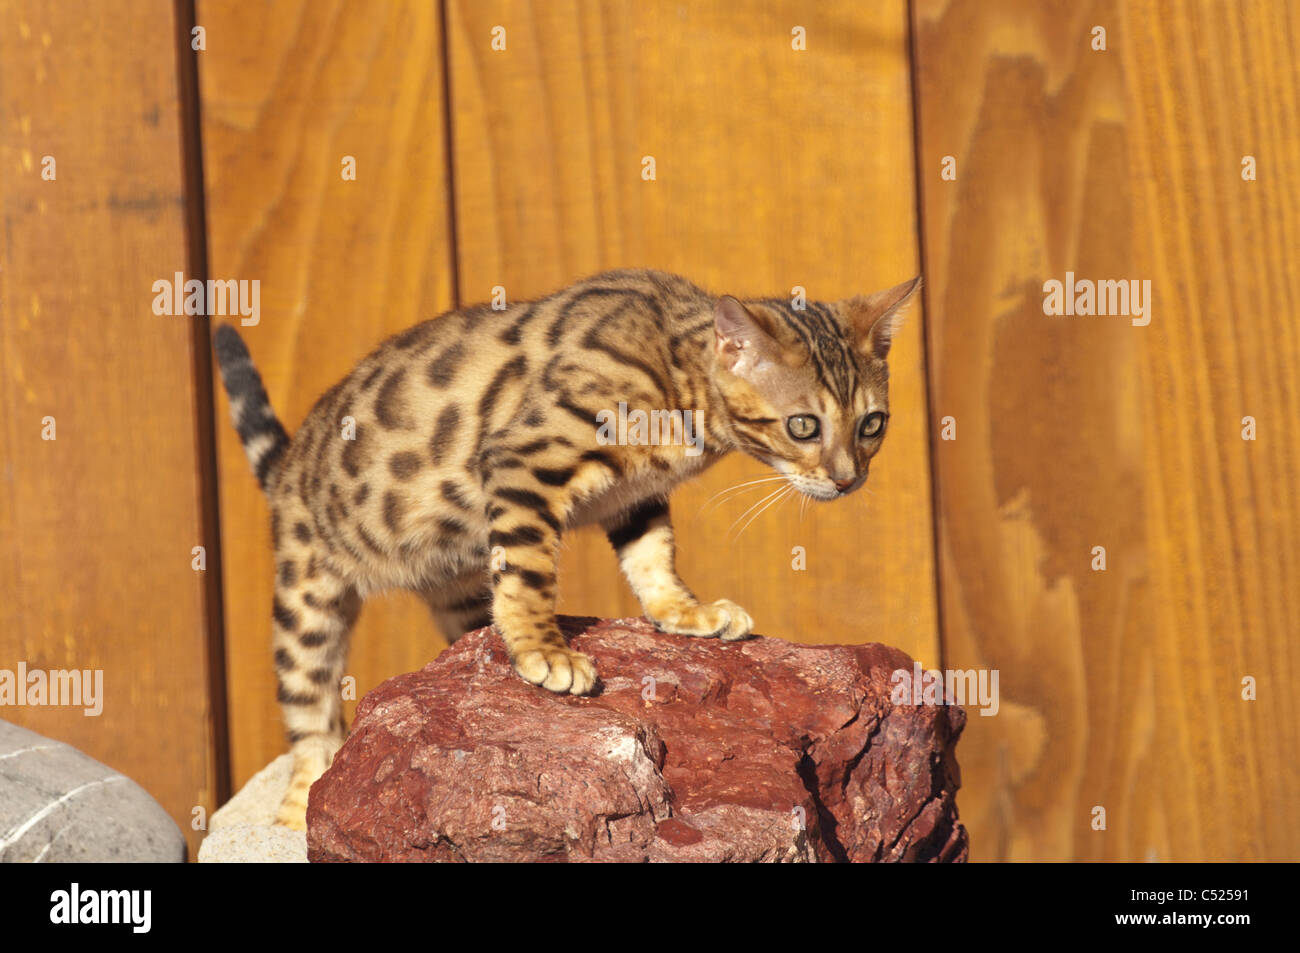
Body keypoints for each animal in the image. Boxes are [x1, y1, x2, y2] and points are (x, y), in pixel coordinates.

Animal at [213, 267, 920, 826]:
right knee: (307, 708)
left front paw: (685, 614)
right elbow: (530, 575)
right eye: (803, 425)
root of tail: (290, 465)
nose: (848, 480)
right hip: (309, 595)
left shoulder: (637, 497)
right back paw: (302, 799)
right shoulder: (522, 460)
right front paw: (544, 652)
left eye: (872, 424)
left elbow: (654, 559)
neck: (677, 376)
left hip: (455, 589)